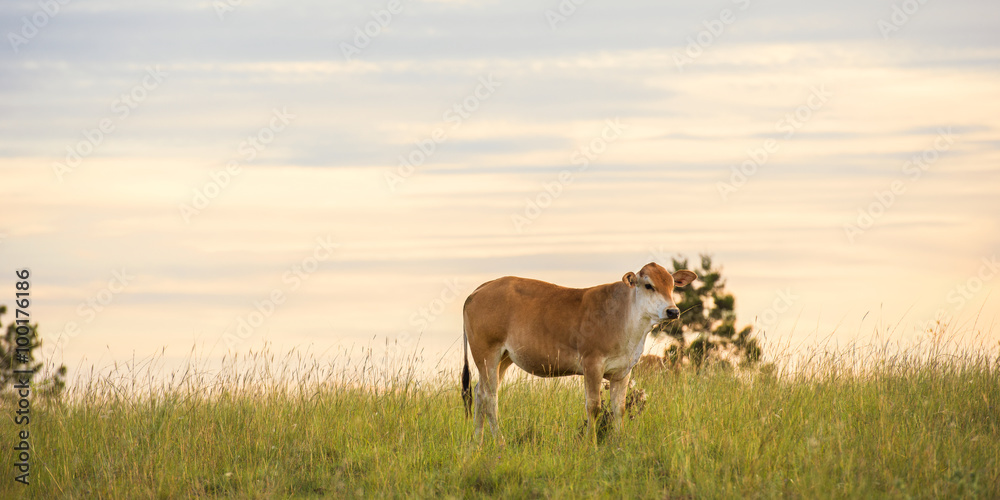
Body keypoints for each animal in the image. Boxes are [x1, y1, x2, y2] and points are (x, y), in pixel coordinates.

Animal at [460, 262, 696, 446]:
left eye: (672, 286)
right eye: (649, 285)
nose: (673, 311)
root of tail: (483, 287)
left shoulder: (623, 371)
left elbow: (618, 408)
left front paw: (618, 443)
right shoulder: (592, 364)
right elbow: (593, 406)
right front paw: (591, 444)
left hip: (504, 358)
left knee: (480, 392)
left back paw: (477, 443)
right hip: (487, 353)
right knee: (490, 397)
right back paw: (500, 442)